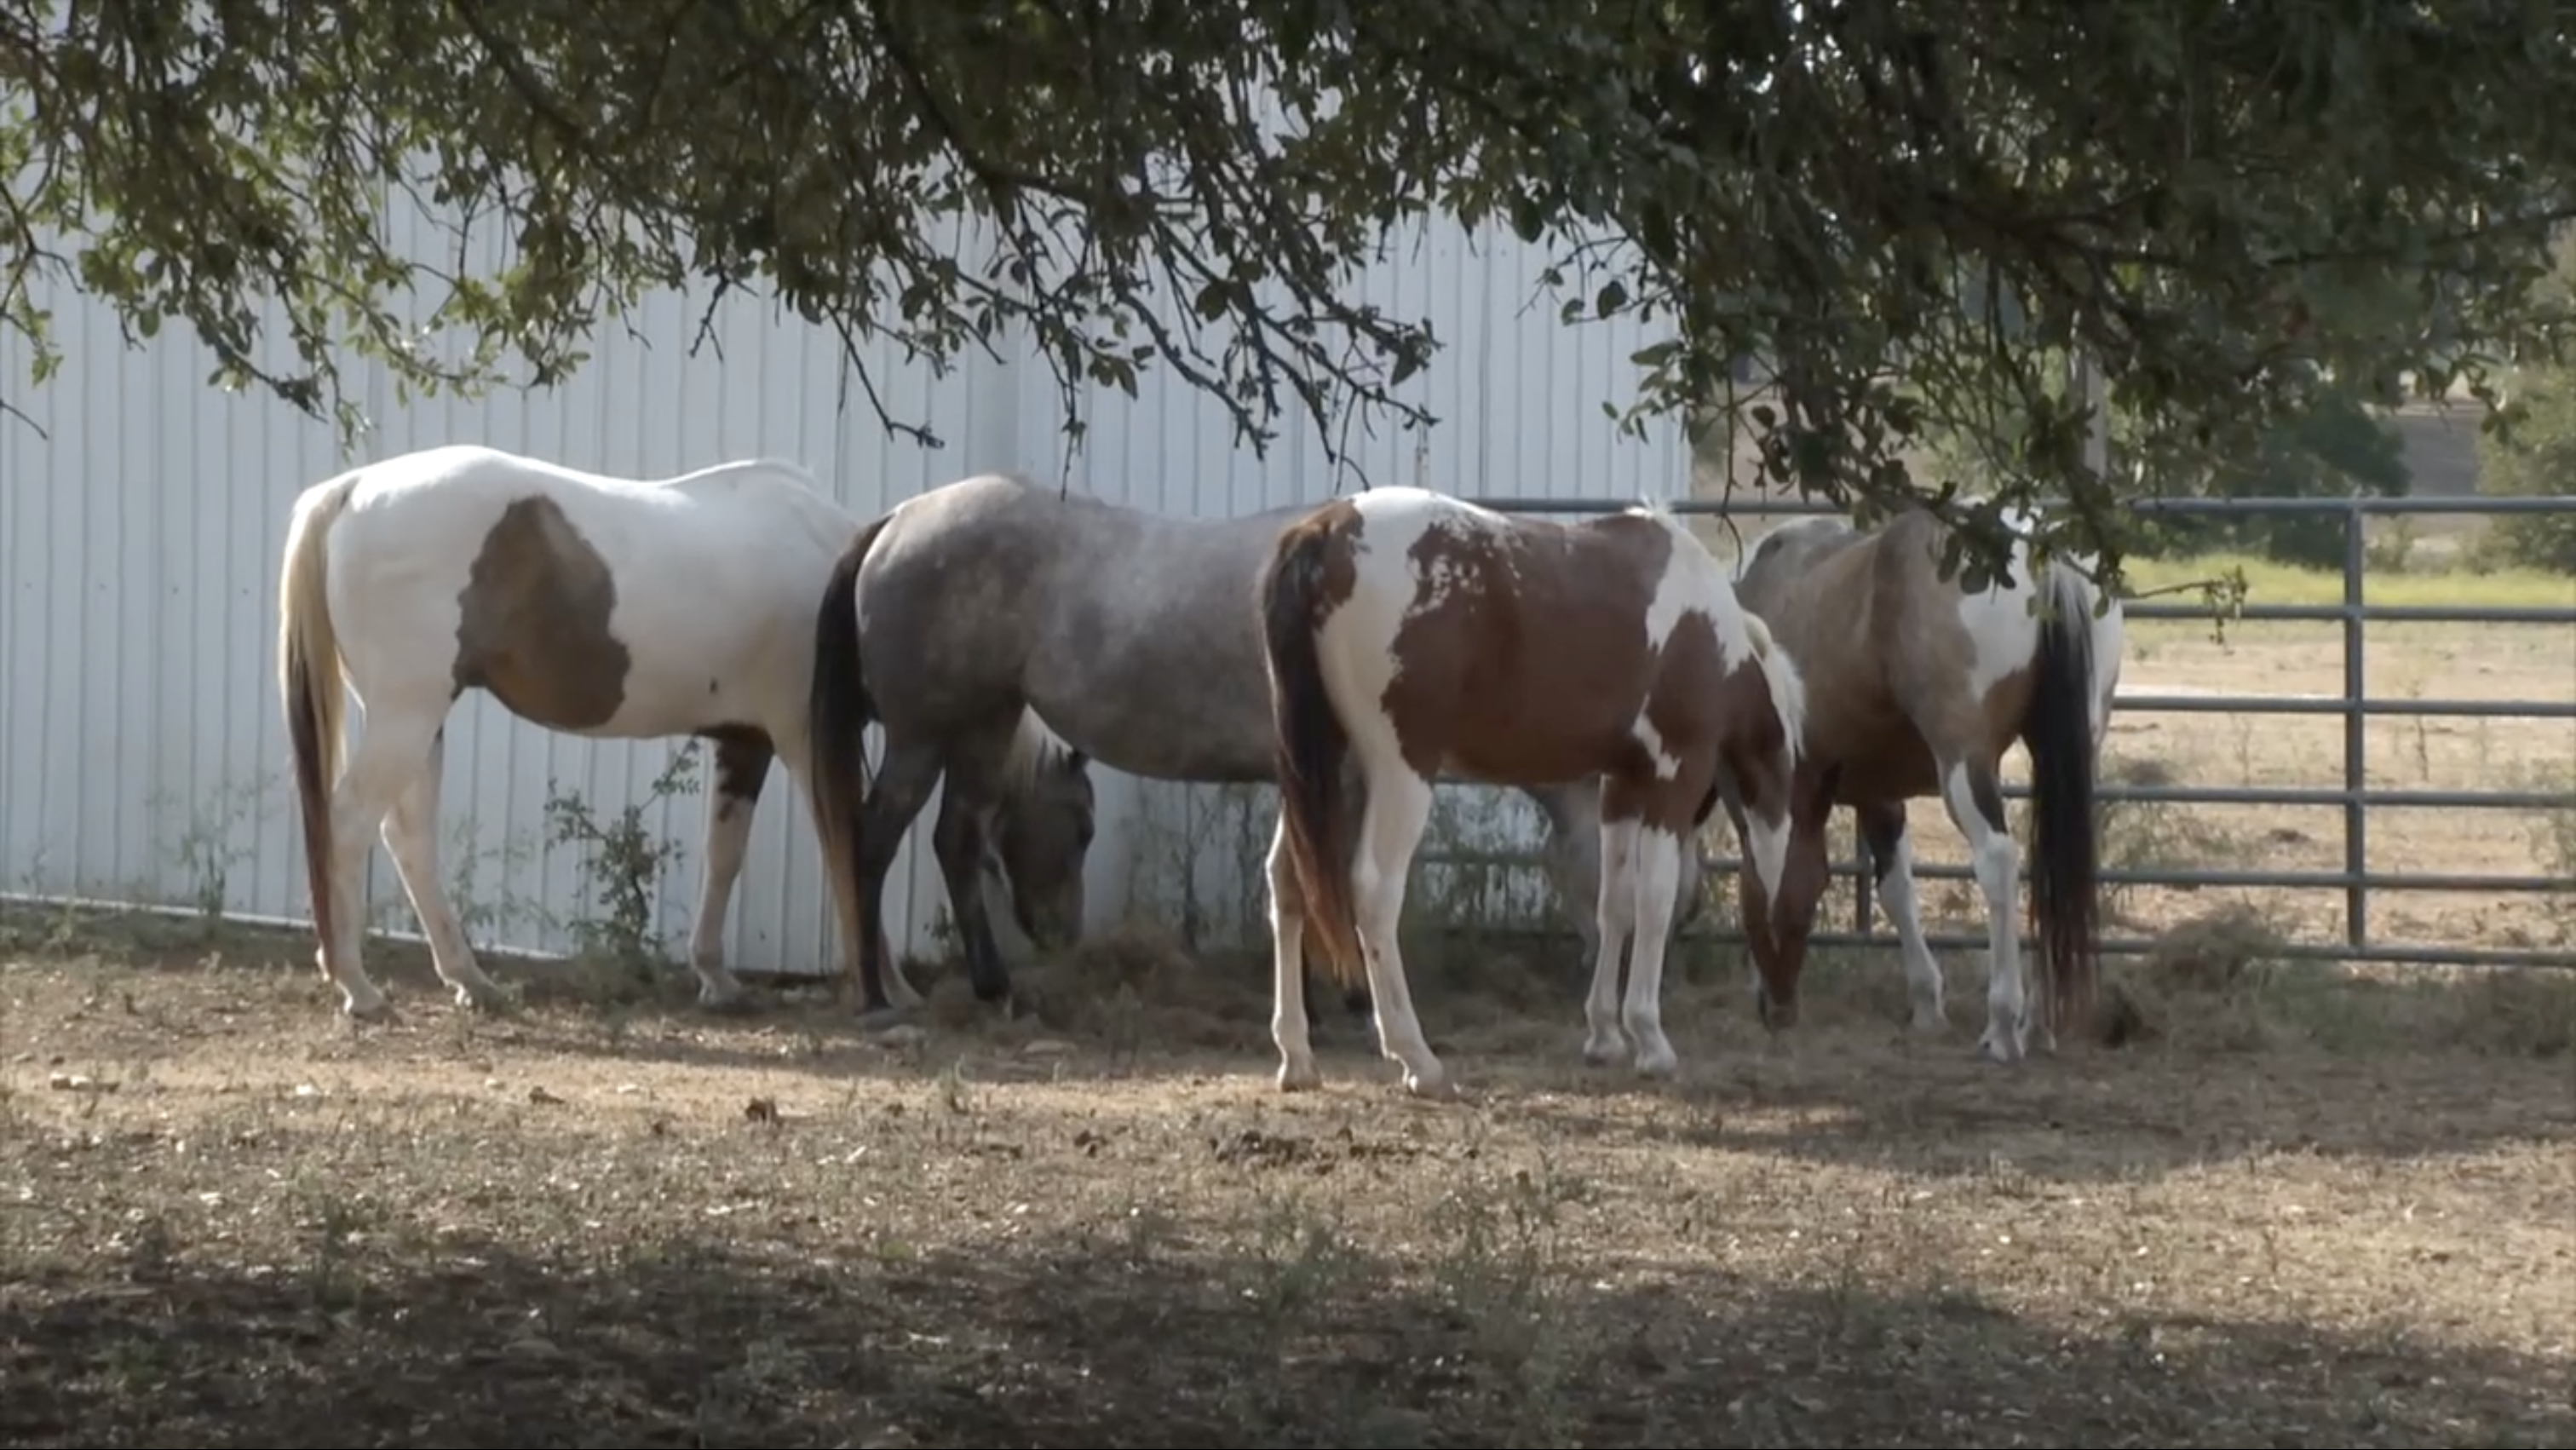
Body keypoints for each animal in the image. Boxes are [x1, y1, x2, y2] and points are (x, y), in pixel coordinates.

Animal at [275, 443, 1092, 1021]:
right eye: (1082, 825)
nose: (1066, 939)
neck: (851, 578)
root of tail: (352, 491)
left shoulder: (744, 740)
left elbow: (723, 854)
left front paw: (715, 975)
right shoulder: (805, 739)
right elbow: (847, 845)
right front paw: (888, 986)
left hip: (421, 719)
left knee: (407, 839)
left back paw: (470, 980)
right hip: (407, 715)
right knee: (347, 824)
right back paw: (358, 986)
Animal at [801, 471, 1705, 1021]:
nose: (1656, 945)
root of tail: (897, 523)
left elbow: (1304, 878)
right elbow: (1327, 878)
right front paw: (1349, 999)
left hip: (983, 726)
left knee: (955, 840)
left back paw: (996, 988)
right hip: (922, 735)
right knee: (872, 840)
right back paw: (878, 994)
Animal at [1259, 486, 1823, 1098]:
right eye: (1806, 905)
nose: (1784, 1010)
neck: (1708, 631)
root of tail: (1327, 531)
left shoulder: (1621, 786)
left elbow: (1614, 901)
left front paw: (1605, 1035)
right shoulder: (1674, 777)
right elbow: (1654, 900)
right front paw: (1650, 1040)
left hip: (1329, 768)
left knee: (1287, 882)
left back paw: (1297, 1056)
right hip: (1398, 772)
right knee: (1375, 892)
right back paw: (1417, 1058)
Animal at [1717, 505, 2125, 1062]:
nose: (1776, 1010)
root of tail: (2038, 545)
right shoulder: (1876, 793)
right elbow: (1896, 890)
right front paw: (1928, 1003)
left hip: (1963, 760)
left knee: (1998, 862)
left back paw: (2003, 1025)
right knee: (2055, 869)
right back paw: (2041, 1022)